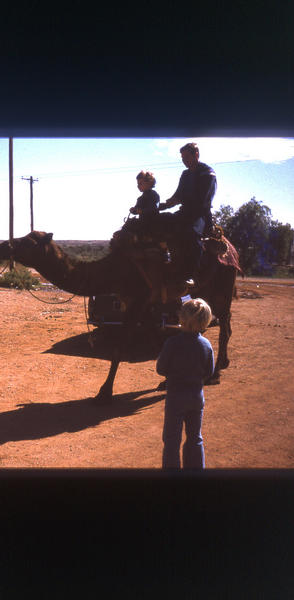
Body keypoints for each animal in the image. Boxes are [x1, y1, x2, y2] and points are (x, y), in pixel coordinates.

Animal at [0, 227, 241, 400]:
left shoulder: (138, 300)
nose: (4, 244)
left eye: (28, 242)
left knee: (224, 324)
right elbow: (156, 343)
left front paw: (104, 393)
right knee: (223, 321)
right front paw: (165, 381)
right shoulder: (144, 306)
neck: (113, 271)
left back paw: (215, 374)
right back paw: (222, 365)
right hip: (205, 288)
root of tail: (230, 247)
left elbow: (119, 348)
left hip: (224, 284)